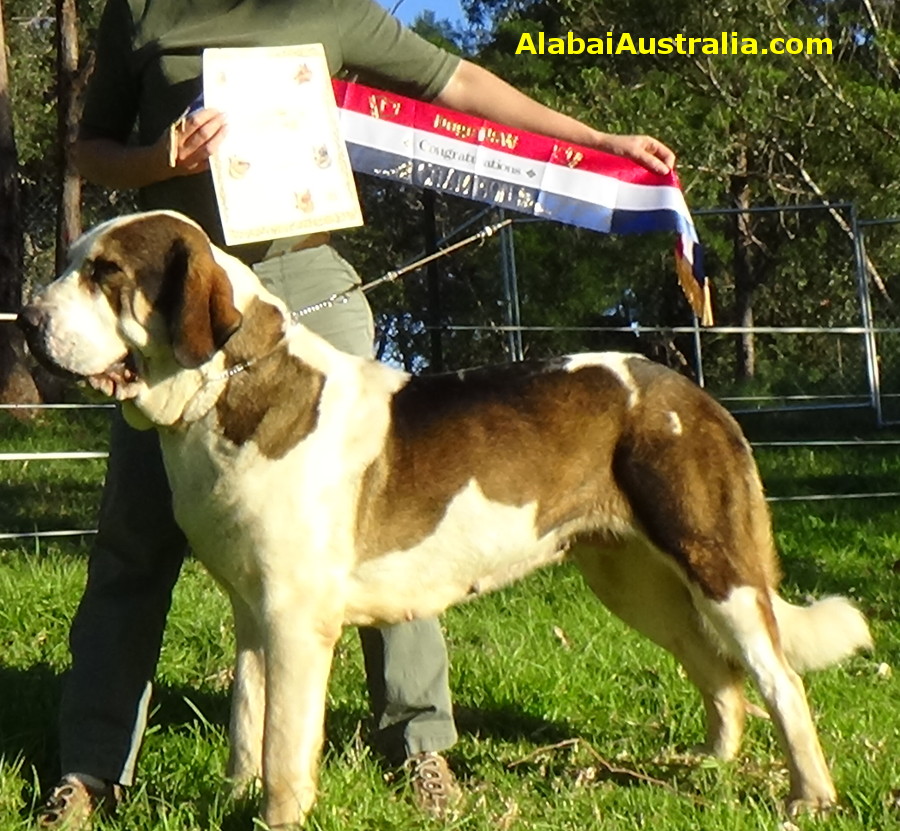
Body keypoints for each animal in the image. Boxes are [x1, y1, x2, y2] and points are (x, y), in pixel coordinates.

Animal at [17, 213, 868, 824]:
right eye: (73, 262)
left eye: (105, 273)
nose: (25, 317)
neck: (227, 386)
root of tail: (691, 391)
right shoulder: (254, 614)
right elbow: (247, 720)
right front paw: (233, 797)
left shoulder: (294, 618)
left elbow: (285, 742)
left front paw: (276, 816)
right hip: (631, 576)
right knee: (717, 670)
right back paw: (710, 766)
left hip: (715, 563)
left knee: (779, 678)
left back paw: (809, 796)